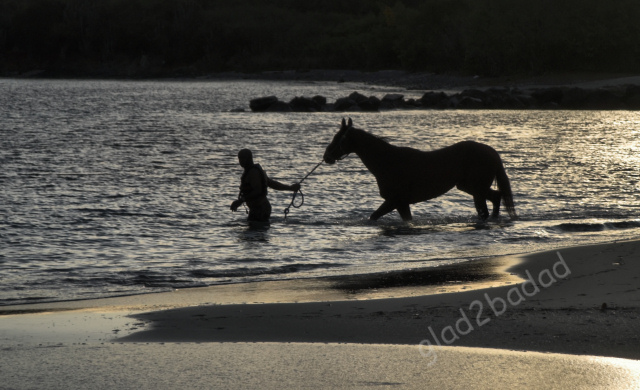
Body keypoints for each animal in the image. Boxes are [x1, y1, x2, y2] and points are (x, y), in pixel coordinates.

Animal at [322, 119, 516, 221]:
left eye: (339, 138)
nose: (326, 157)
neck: (388, 161)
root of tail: (492, 151)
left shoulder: (395, 201)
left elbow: (374, 217)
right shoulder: (401, 204)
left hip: (476, 189)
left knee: (489, 205)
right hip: (471, 188)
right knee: (495, 198)